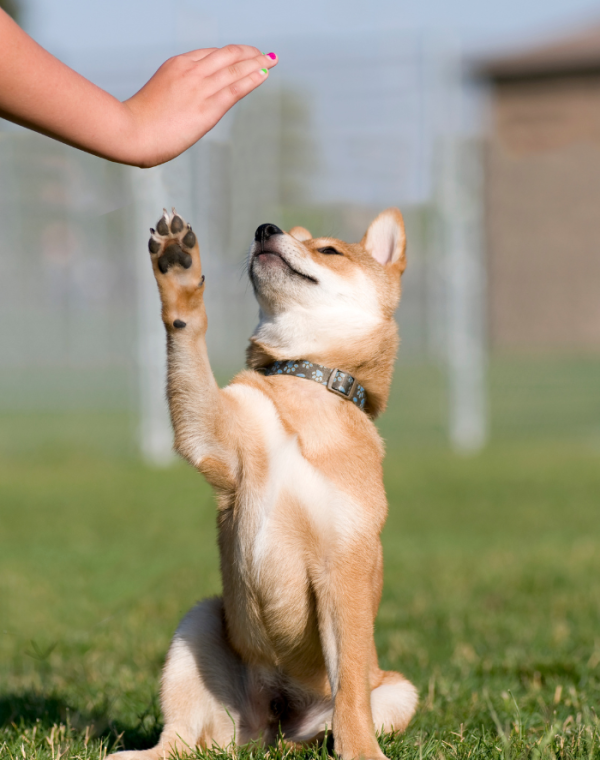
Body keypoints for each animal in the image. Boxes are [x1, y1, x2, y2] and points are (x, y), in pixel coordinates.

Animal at [109, 209, 418, 760]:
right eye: (287, 234)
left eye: (328, 250)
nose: (265, 230)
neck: (305, 383)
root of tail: (274, 723)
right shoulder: (213, 436)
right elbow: (190, 340)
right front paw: (178, 272)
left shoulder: (344, 566)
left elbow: (351, 688)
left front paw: (362, 751)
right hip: (199, 624)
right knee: (182, 738)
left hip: (398, 691)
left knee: (334, 717)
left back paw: (323, 742)